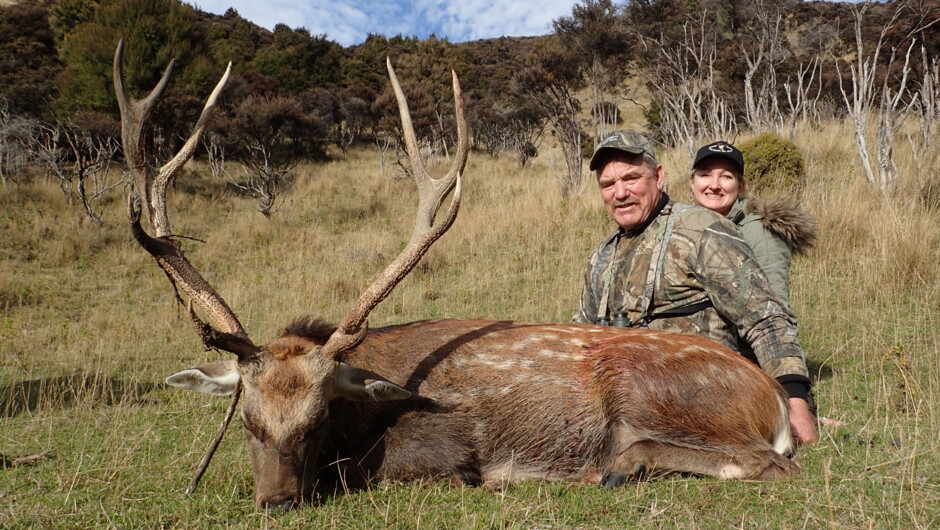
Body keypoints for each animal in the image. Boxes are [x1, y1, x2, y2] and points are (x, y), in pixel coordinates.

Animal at [113, 40, 799, 512]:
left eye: (316, 420)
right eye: (247, 423)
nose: (276, 503)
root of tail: (773, 402)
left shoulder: (444, 442)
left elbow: (390, 470)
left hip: (660, 397)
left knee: (765, 464)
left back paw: (619, 465)